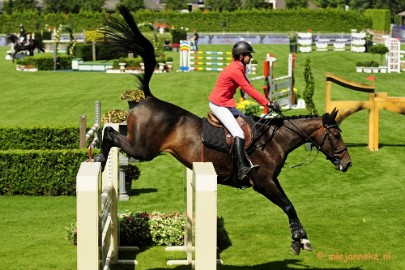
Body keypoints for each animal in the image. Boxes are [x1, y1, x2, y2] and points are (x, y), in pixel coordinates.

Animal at [94, 5, 350, 255]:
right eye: (336, 135)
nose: (347, 164)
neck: (274, 140)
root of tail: (147, 98)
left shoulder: (272, 180)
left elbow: (291, 205)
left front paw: (301, 238)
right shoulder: (263, 182)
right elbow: (287, 204)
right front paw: (299, 240)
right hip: (142, 149)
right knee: (110, 133)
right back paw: (99, 157)